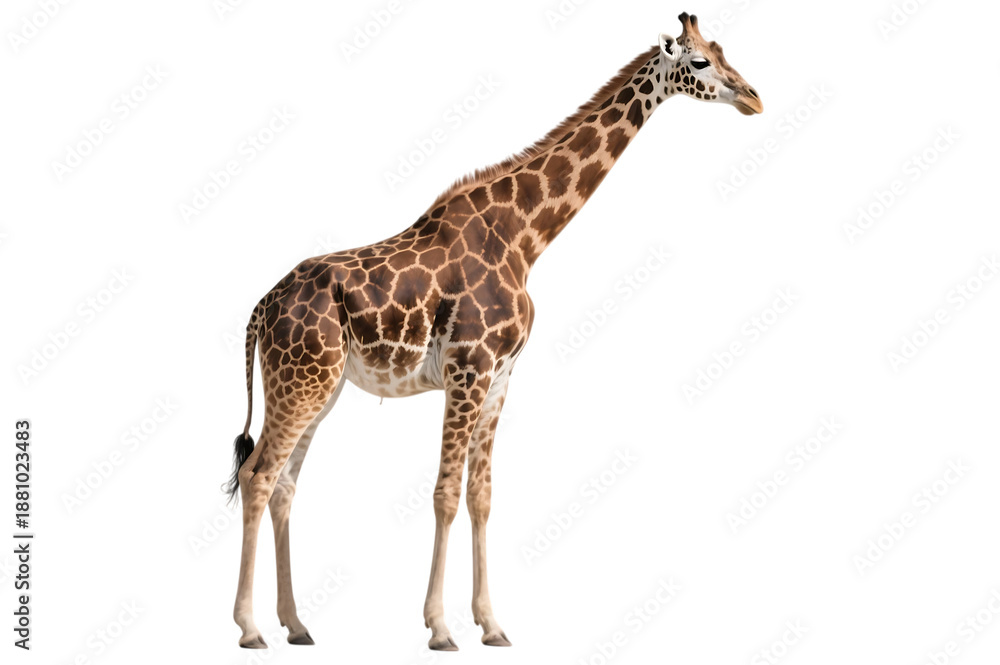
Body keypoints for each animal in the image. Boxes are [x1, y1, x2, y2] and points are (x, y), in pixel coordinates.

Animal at [228, 12, 762, 651]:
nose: (754, 97)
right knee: (258, 475)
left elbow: (482, 496)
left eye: (724, 50)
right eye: (700, 61)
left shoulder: (501, 376)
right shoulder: (469, 368)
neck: (524, 237)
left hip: (318, 387)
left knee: (285, 484)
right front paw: (439, 628)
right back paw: (250, 628)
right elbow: (443, 494)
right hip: (300, 383)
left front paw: (491, 624)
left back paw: (297, 624)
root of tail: (260, 308)